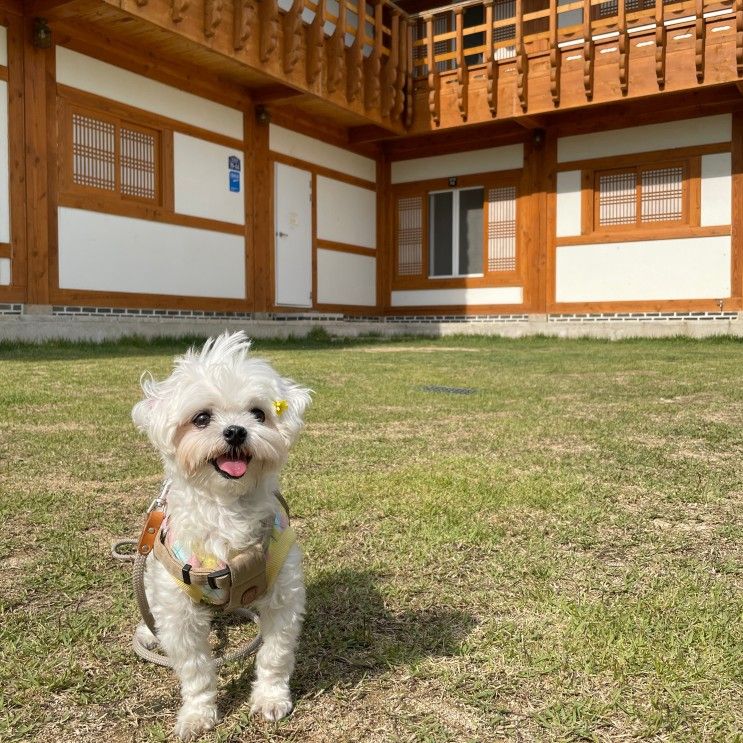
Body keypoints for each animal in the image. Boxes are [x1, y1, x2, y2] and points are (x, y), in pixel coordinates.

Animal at [131, 334, 310, 740]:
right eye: (201, 418)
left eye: (258, 413)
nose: (235, 431)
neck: (226, 509)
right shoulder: (178, 612)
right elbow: (196, 669)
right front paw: (198, 714)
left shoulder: (283, 593)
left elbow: (274, 654)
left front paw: (270, 698)